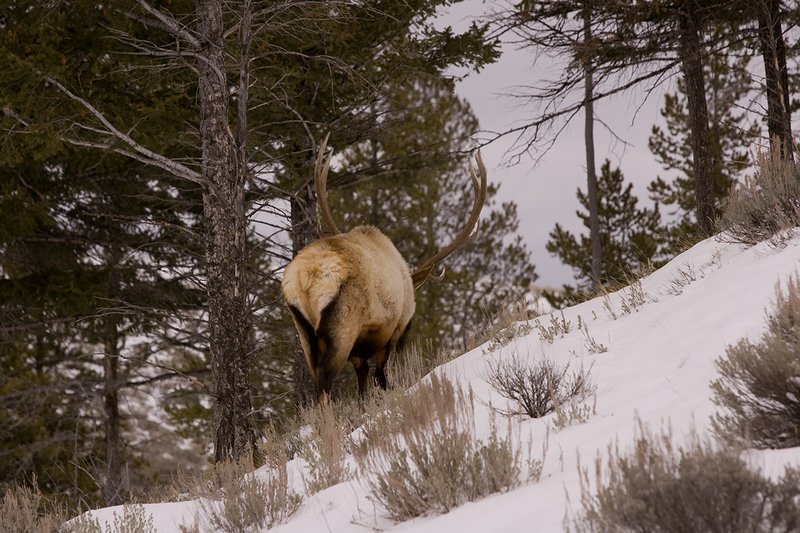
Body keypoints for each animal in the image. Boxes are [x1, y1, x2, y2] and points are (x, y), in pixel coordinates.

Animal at [281, 135, 487, 402]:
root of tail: (306, 276)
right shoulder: (394, 331)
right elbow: (382, 377)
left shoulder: (360, 351)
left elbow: (363, 382)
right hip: (343, 324)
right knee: (325, 380)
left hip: (304, 329)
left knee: (316, 375)